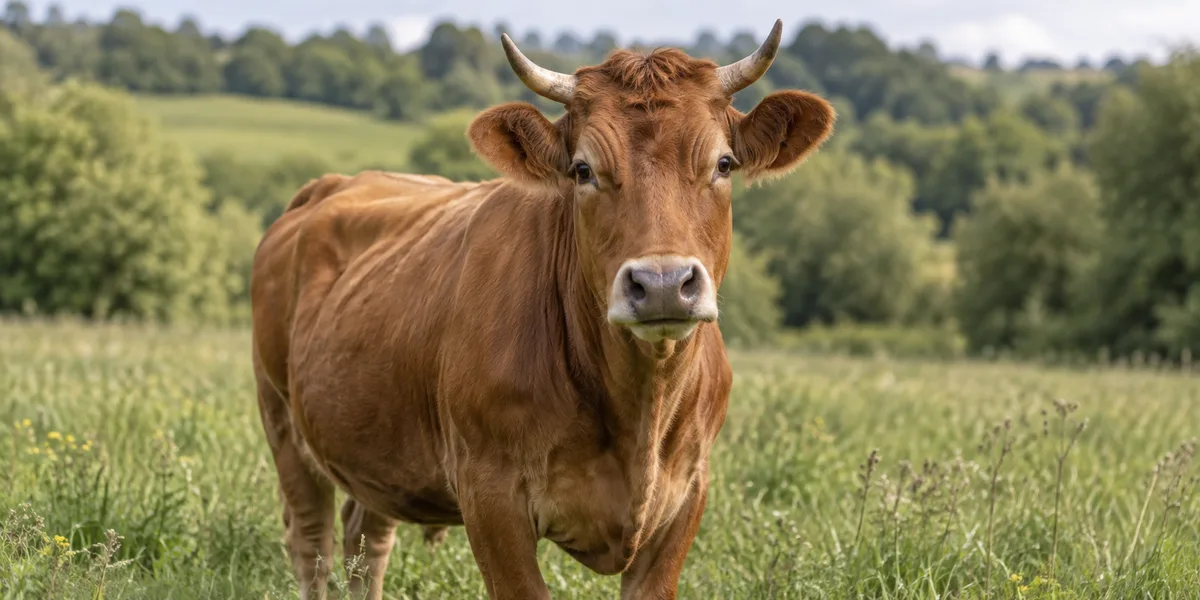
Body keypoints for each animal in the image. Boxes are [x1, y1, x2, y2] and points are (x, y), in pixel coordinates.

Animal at [249, 19, 834, 600]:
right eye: (582, 169)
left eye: (723, 163)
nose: (663, 284)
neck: (638, 411)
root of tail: (335, 183)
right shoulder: (489, 494)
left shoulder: (688, 494)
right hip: (281, 419)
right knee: (312, 544)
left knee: (366, 542)